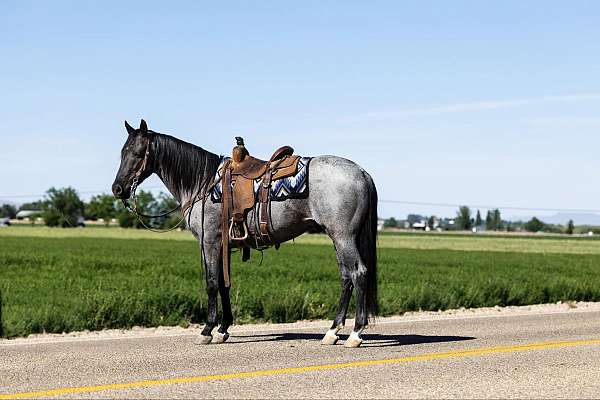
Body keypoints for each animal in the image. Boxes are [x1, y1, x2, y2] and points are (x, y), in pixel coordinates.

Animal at [110, 118, 378, 346]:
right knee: (345, 277)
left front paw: (207, 330)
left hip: (343, 237)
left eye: (137, 153)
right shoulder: (223, 246)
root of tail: (362, 172)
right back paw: (332, 332)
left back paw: (355, 333)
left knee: (358, 273)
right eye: (122, 153)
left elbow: (211, 283)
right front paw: (223, 329)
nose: (118, 189)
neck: (203, 183)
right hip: (339, 238)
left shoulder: (209, 242)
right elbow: (224, 284)